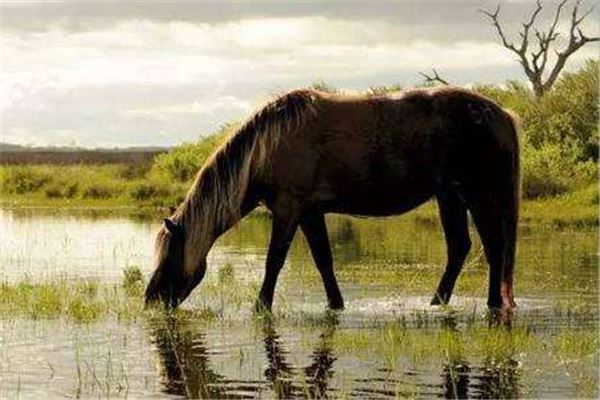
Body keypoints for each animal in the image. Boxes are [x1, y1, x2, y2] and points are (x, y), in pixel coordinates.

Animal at [145, 86, 520, 312]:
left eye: (170, 254)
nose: (151, 299)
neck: (267, 146)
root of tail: (499, 113)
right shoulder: (310, 213)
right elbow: (323, 260)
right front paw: (335, 305)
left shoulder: (288, 209)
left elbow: (274, 260)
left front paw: (261, 306)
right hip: (450, 197)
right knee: (461, 248)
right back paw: (438, 303)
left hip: (478, 194)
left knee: (494, 246)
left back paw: (491, 304)